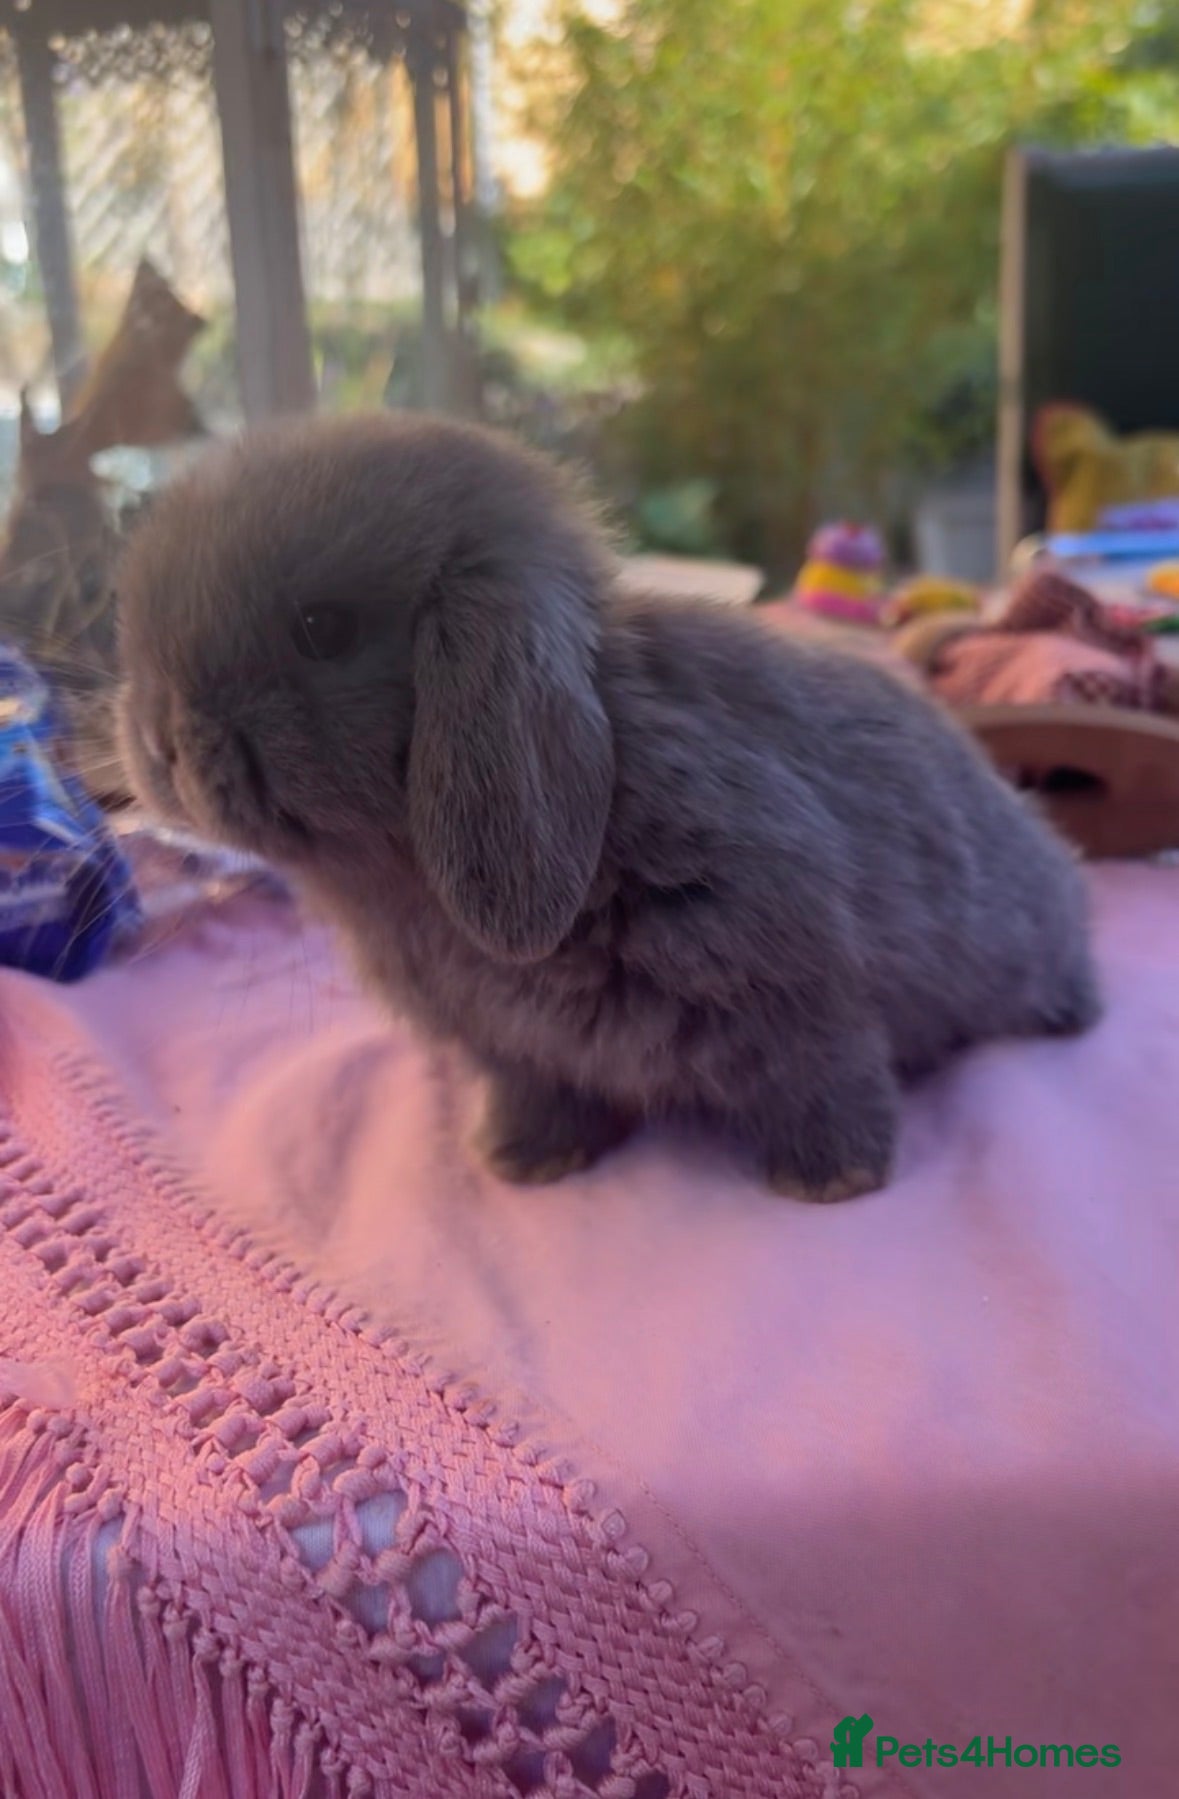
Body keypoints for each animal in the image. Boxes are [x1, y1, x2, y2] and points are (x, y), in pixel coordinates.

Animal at [117, 413, 1101, 1202]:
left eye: (323, 629)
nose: (161, 742)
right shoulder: (515, 1053)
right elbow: (537, 1095)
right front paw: (522, 1162)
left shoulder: (808, 993)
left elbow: (828, 1076)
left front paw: (831, 1179)